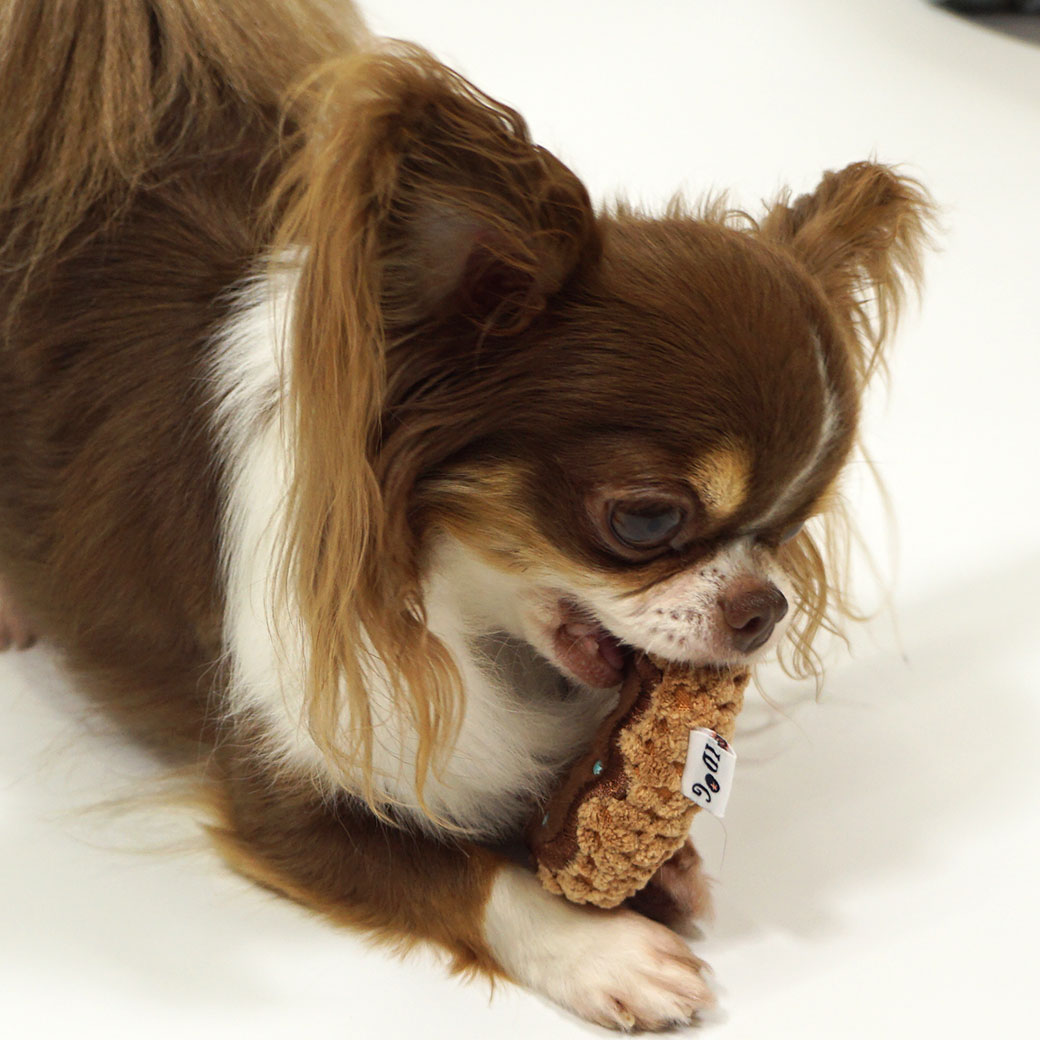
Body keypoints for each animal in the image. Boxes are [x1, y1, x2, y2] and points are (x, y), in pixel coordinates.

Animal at [0, 0, 932, 1029]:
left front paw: (662, 866)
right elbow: (467, 878)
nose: (764, 609)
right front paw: (600, 949)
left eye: (790, 528)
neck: (463, 616)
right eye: (647, 521)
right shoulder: (279, 795)